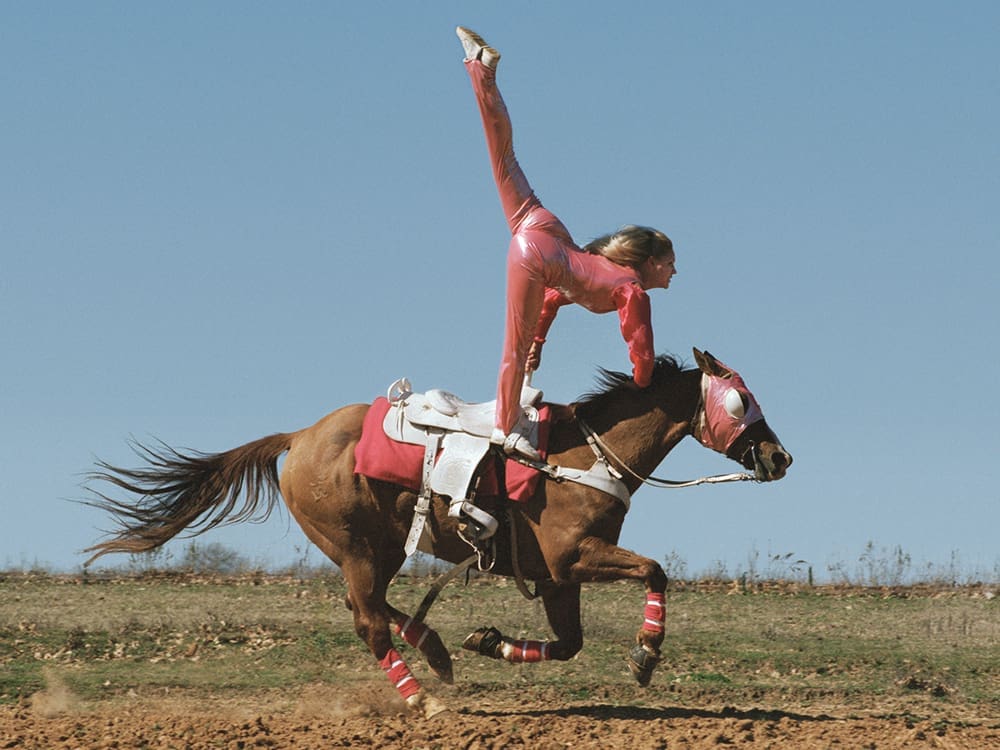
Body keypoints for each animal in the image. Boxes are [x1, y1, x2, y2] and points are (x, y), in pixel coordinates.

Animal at [84, 348, 791, 717]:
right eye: (740, 401)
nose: (779, 456)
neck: (585, 455)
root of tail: (299, 437)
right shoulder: (574, 558)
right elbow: (653, 569)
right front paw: (645, 655)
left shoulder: (554, 577)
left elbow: (569, 644)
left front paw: (490, 641)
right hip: (359, 547)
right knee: (369, 620)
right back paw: (423, 698)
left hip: (376, 549)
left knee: (366, 607)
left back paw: (437, 649)